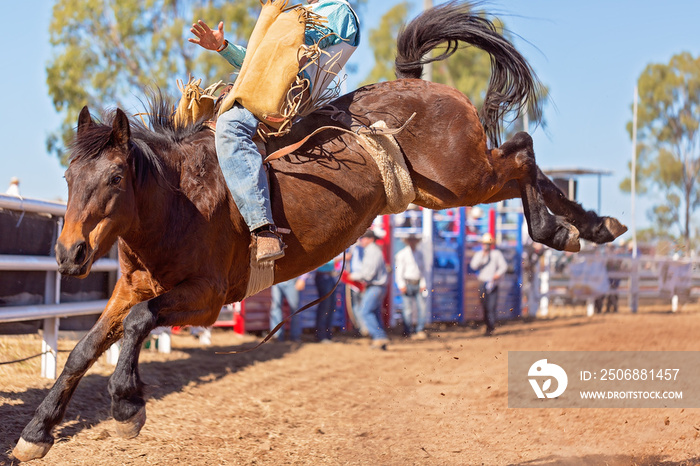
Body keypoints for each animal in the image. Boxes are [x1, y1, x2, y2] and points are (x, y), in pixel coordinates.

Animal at [10, 2, 628, 462]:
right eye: (68, 177)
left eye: (115, 176)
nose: (69, 254)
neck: (178, 201)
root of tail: (421, 84)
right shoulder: (131, 286)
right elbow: (83, 348)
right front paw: (36, 434)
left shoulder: (204, 297)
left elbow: (138, 326)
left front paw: (126, 408)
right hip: (443, 190)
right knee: (522, 154)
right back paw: (593, 226)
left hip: (465, 176)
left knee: (521, 153)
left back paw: (569, 229)